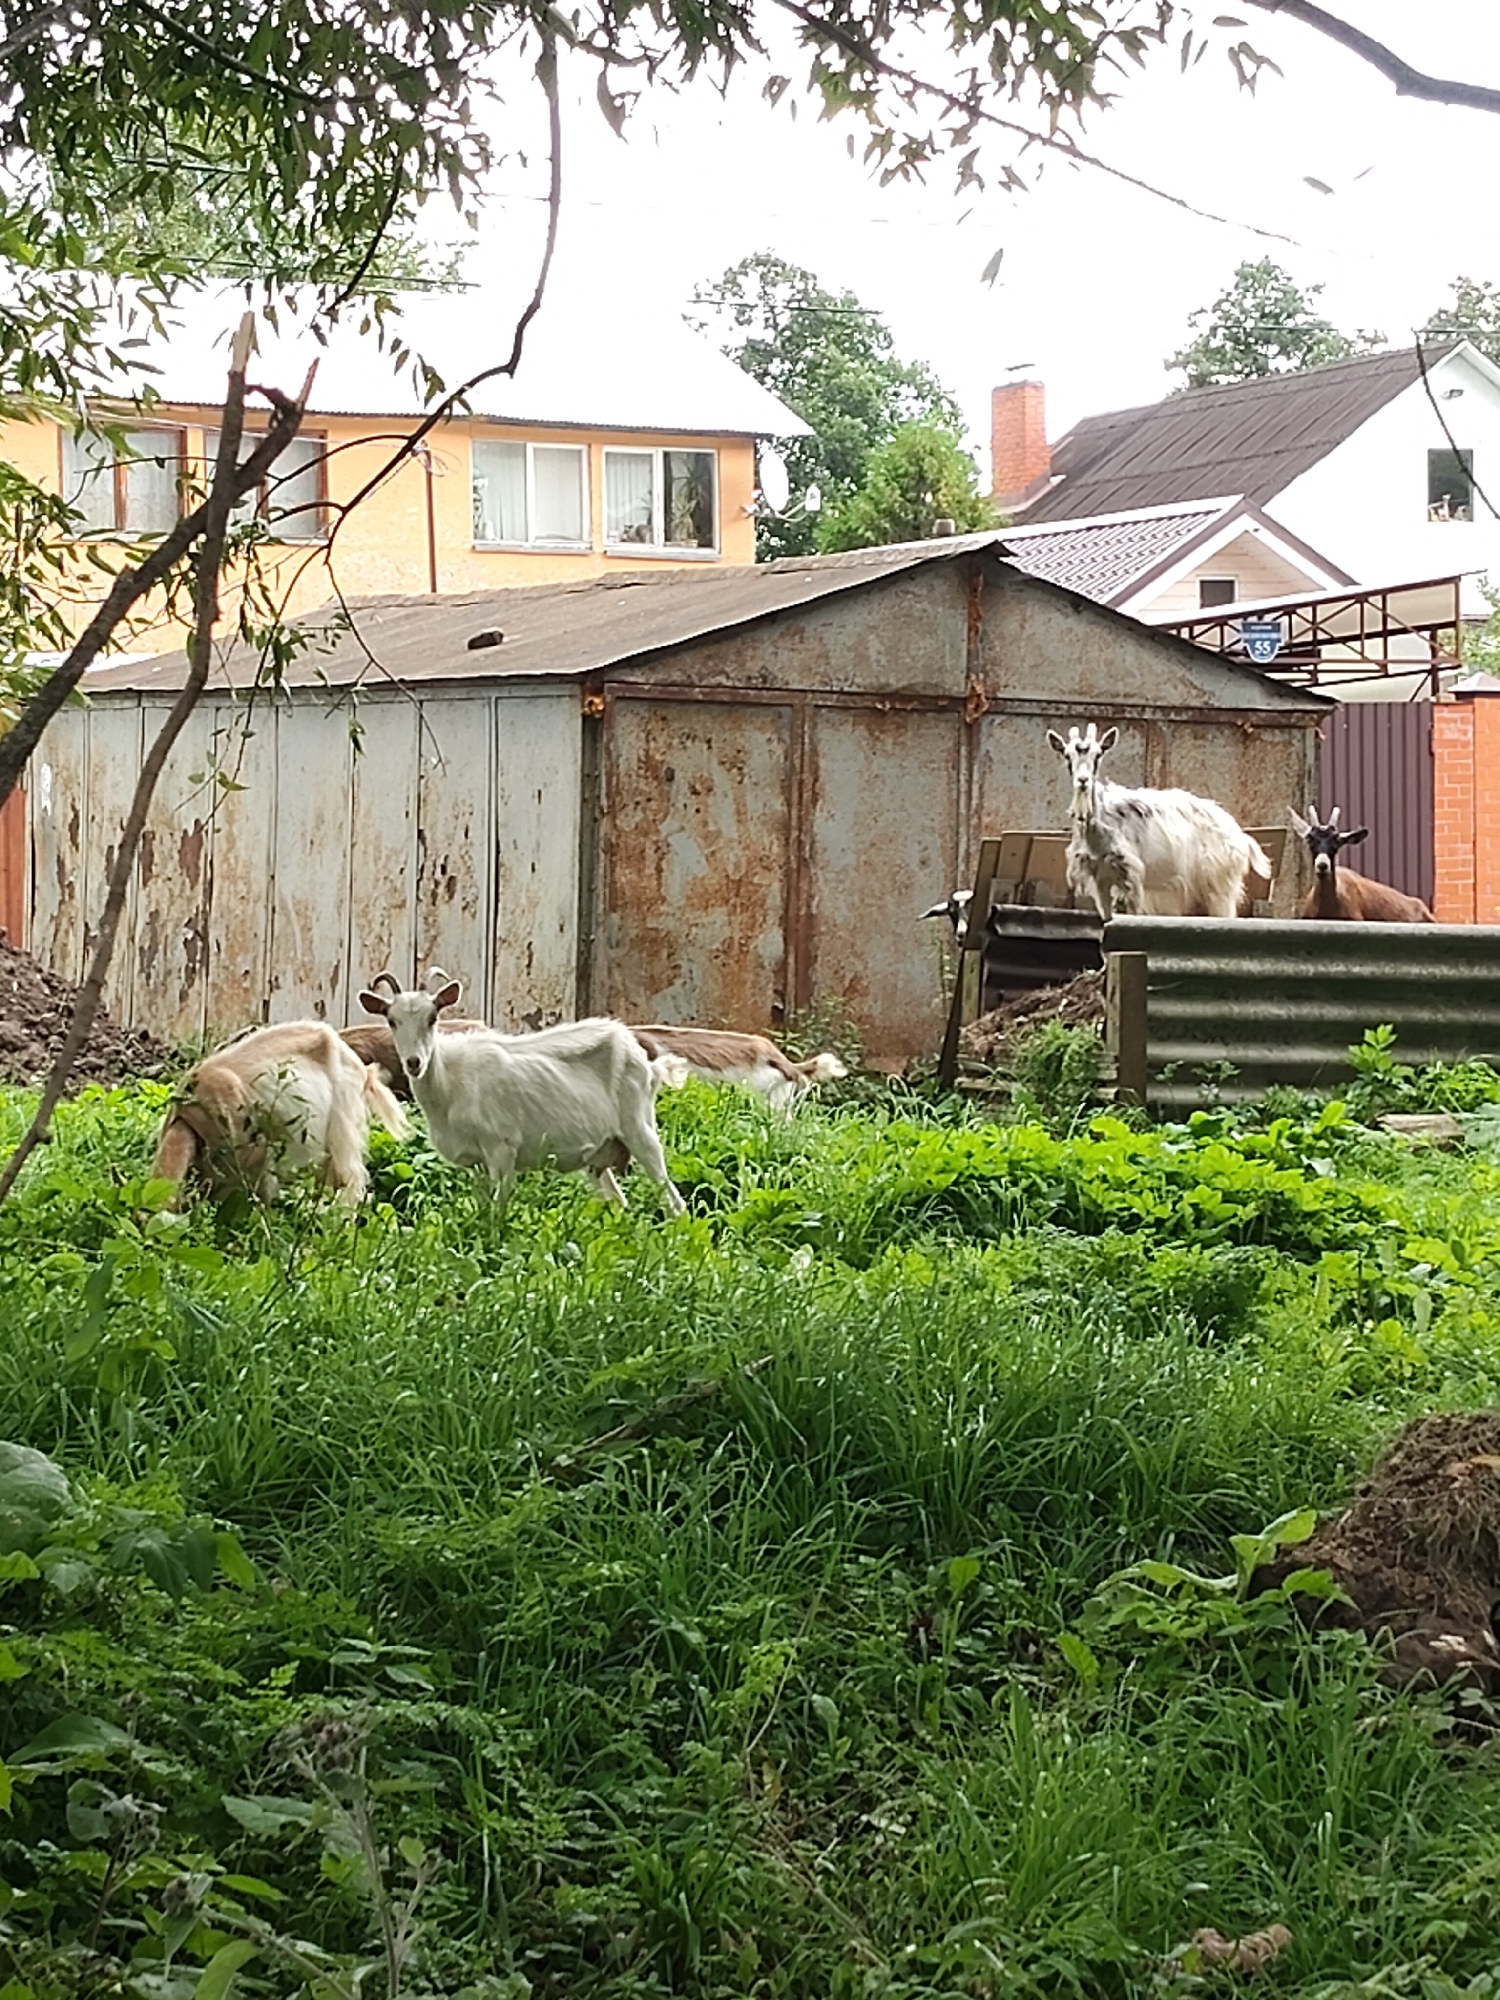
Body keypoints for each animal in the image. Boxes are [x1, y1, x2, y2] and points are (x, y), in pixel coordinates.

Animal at [358, 977, 687, 1217]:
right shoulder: (476, 1162)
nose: (414, 1062)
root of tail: (647, 1063)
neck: (449, 1082)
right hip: (600, 1153)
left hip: (639, 1130)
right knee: (619, 1202)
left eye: (433, 1017)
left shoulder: (502, 1148)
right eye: (391, 1020)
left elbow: (499, 1209)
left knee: (674, 1201)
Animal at [1047, 722, 1272, 921]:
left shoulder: (1131, 876)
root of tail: (1241, 837)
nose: (1083, 781)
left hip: (1219, 888)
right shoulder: (1099, 876)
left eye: (1098, 754)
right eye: (1067, 755)